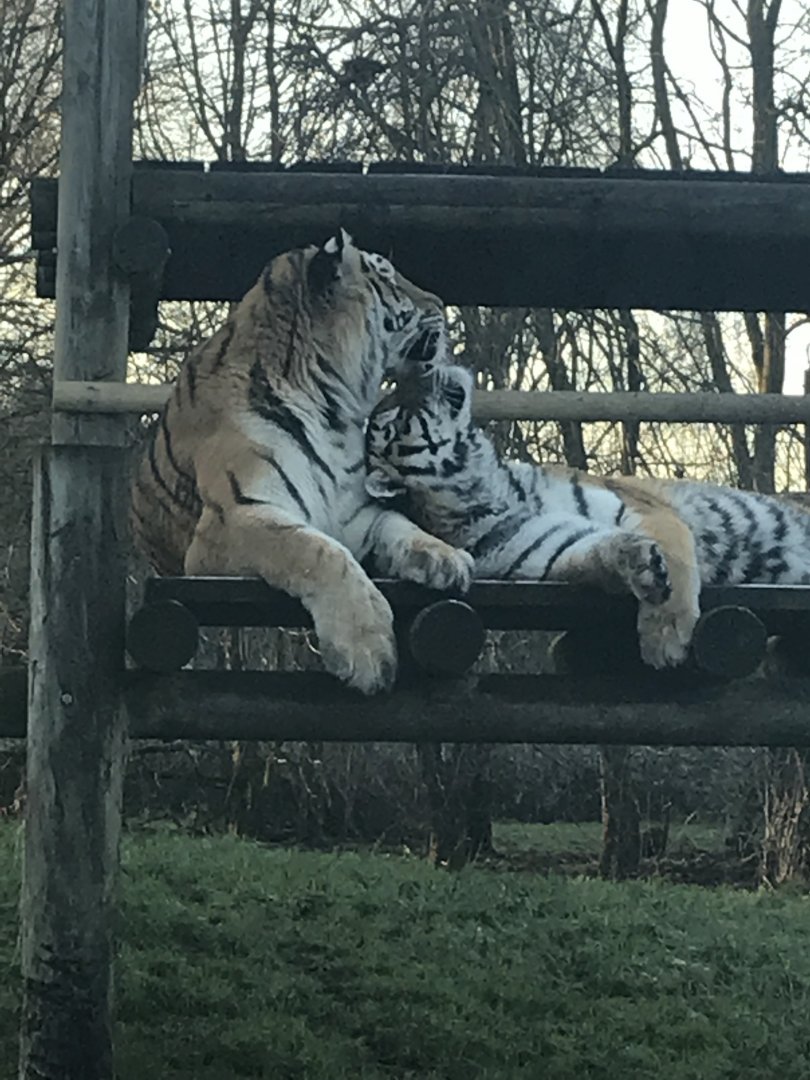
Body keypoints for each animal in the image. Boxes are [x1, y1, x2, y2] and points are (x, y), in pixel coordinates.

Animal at [130, 231, 473, 695]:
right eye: (389, 278)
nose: (439, 302)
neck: (332, 408)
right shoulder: (233, 518)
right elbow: (318, 551)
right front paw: (366, 650)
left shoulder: (355, 513)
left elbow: (399, 524)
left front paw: (444, 556)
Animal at [364, 324, 810, 669]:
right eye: (398, 413)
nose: (427, 365)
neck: (484, 490)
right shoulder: (555, 545)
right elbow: (594, 552)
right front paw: (636, 565)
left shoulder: (644, 508)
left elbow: (677, 559)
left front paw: (666, 632)